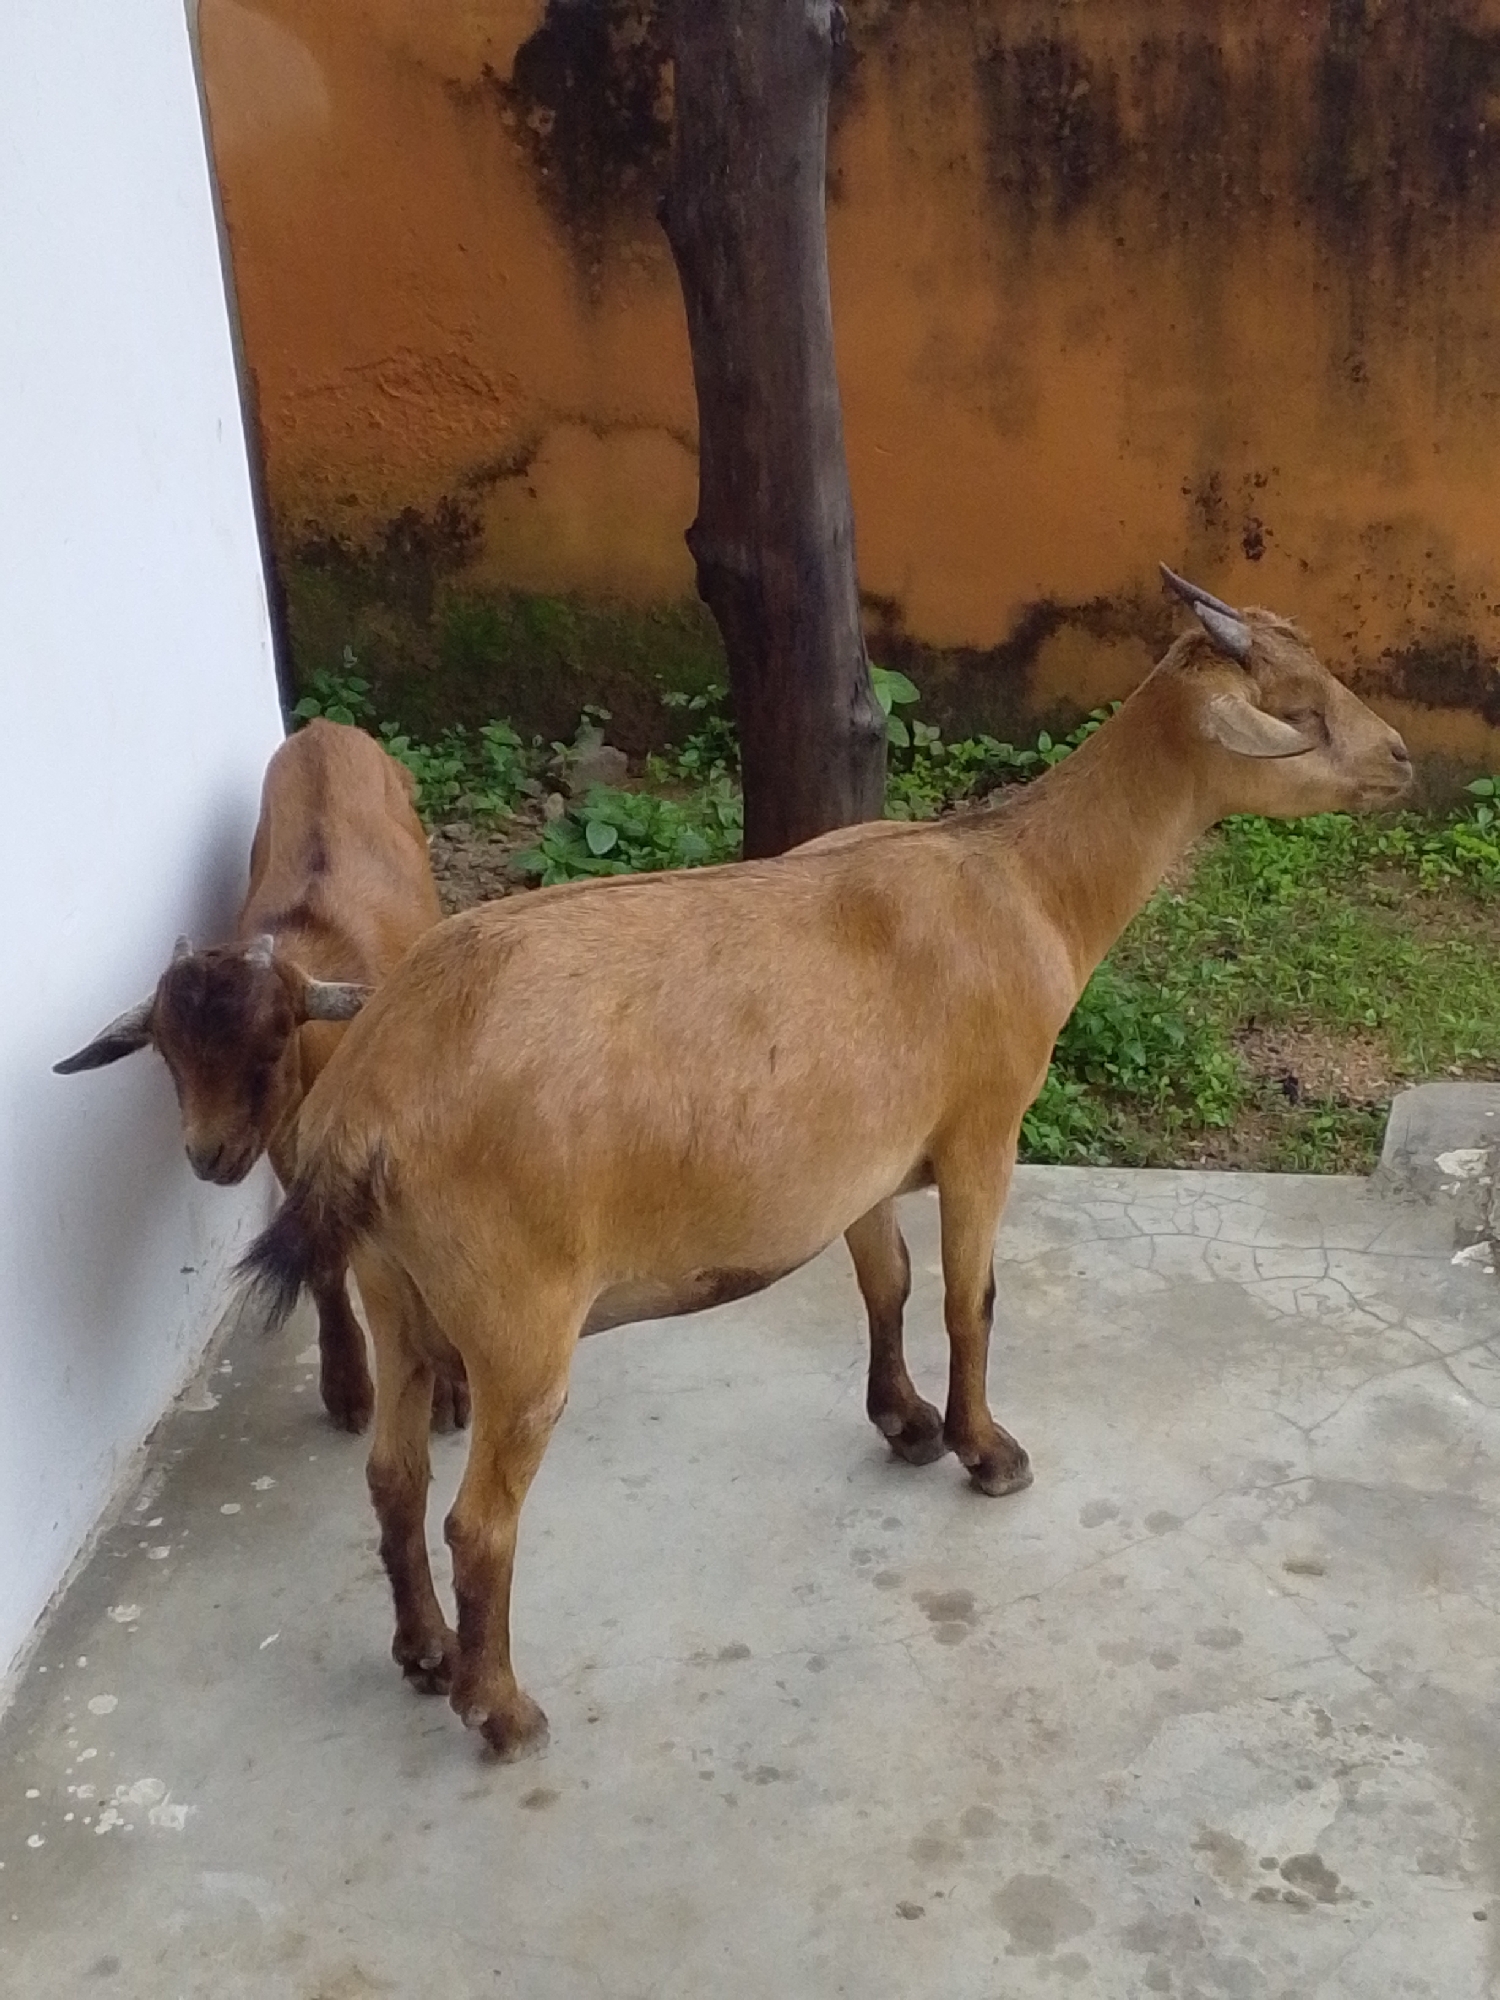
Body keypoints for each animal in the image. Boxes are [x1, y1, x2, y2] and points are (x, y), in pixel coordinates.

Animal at [57, 718, 464, 1434]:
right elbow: (324, 1260)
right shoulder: (285, 1142)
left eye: (273, 1045)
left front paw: (446, 1393)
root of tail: (325, 730)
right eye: (166, 1054)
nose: (208, 1154)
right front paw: (347, 1386)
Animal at [239, 572, 1412, 1759]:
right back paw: (503, 1706)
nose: (1403, 759)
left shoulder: (862, 1164)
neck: (1025, 881)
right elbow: (972, 1299)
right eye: (1300, 707)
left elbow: (886, 1283)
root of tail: (369, 1098)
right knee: (478, 1518)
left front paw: (907, 1425)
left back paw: (425, 1652)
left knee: (392, 1475)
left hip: (395, 1287)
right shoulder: (984, 1129)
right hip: (516, 1315)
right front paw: (986, 1449)